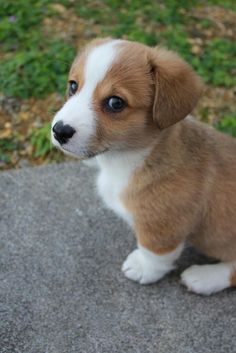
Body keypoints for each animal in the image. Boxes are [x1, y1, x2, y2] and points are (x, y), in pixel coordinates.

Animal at [51, 37, 236, 294]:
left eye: (115, 102)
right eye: (73, 86)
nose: (59, 131)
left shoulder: (163, 227)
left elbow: (154, 253)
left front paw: (142, 268)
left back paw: (204, 277)